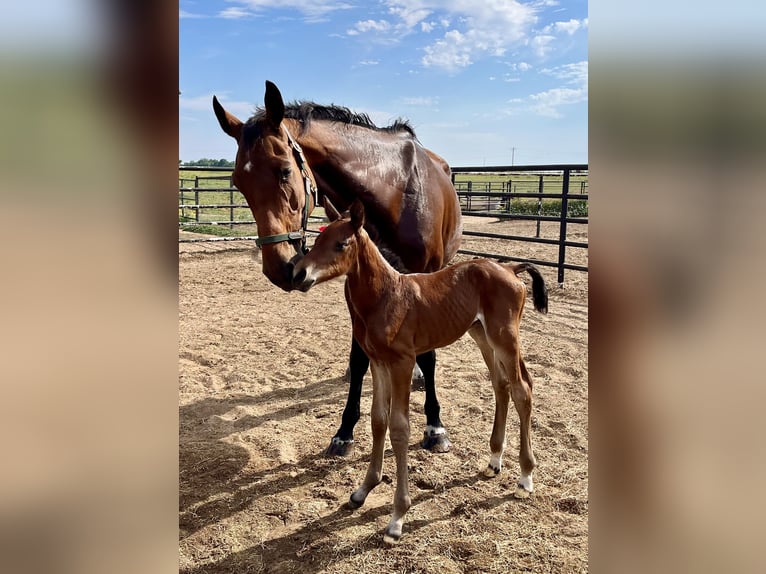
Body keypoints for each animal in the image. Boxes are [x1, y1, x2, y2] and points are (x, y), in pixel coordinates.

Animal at [292, 200, 548, 548]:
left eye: (341, 244)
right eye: (315, 240)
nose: (299, 274)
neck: (386, 296)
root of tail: (509, 269)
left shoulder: (402, 362)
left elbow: (399, 428)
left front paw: (397, 517)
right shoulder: (378, 363)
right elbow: (378, 420)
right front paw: (363, 490)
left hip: (505, 338)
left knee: (523, 389)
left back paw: (525, 477)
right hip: (481, 334)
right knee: (501, 385)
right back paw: (494, 460)